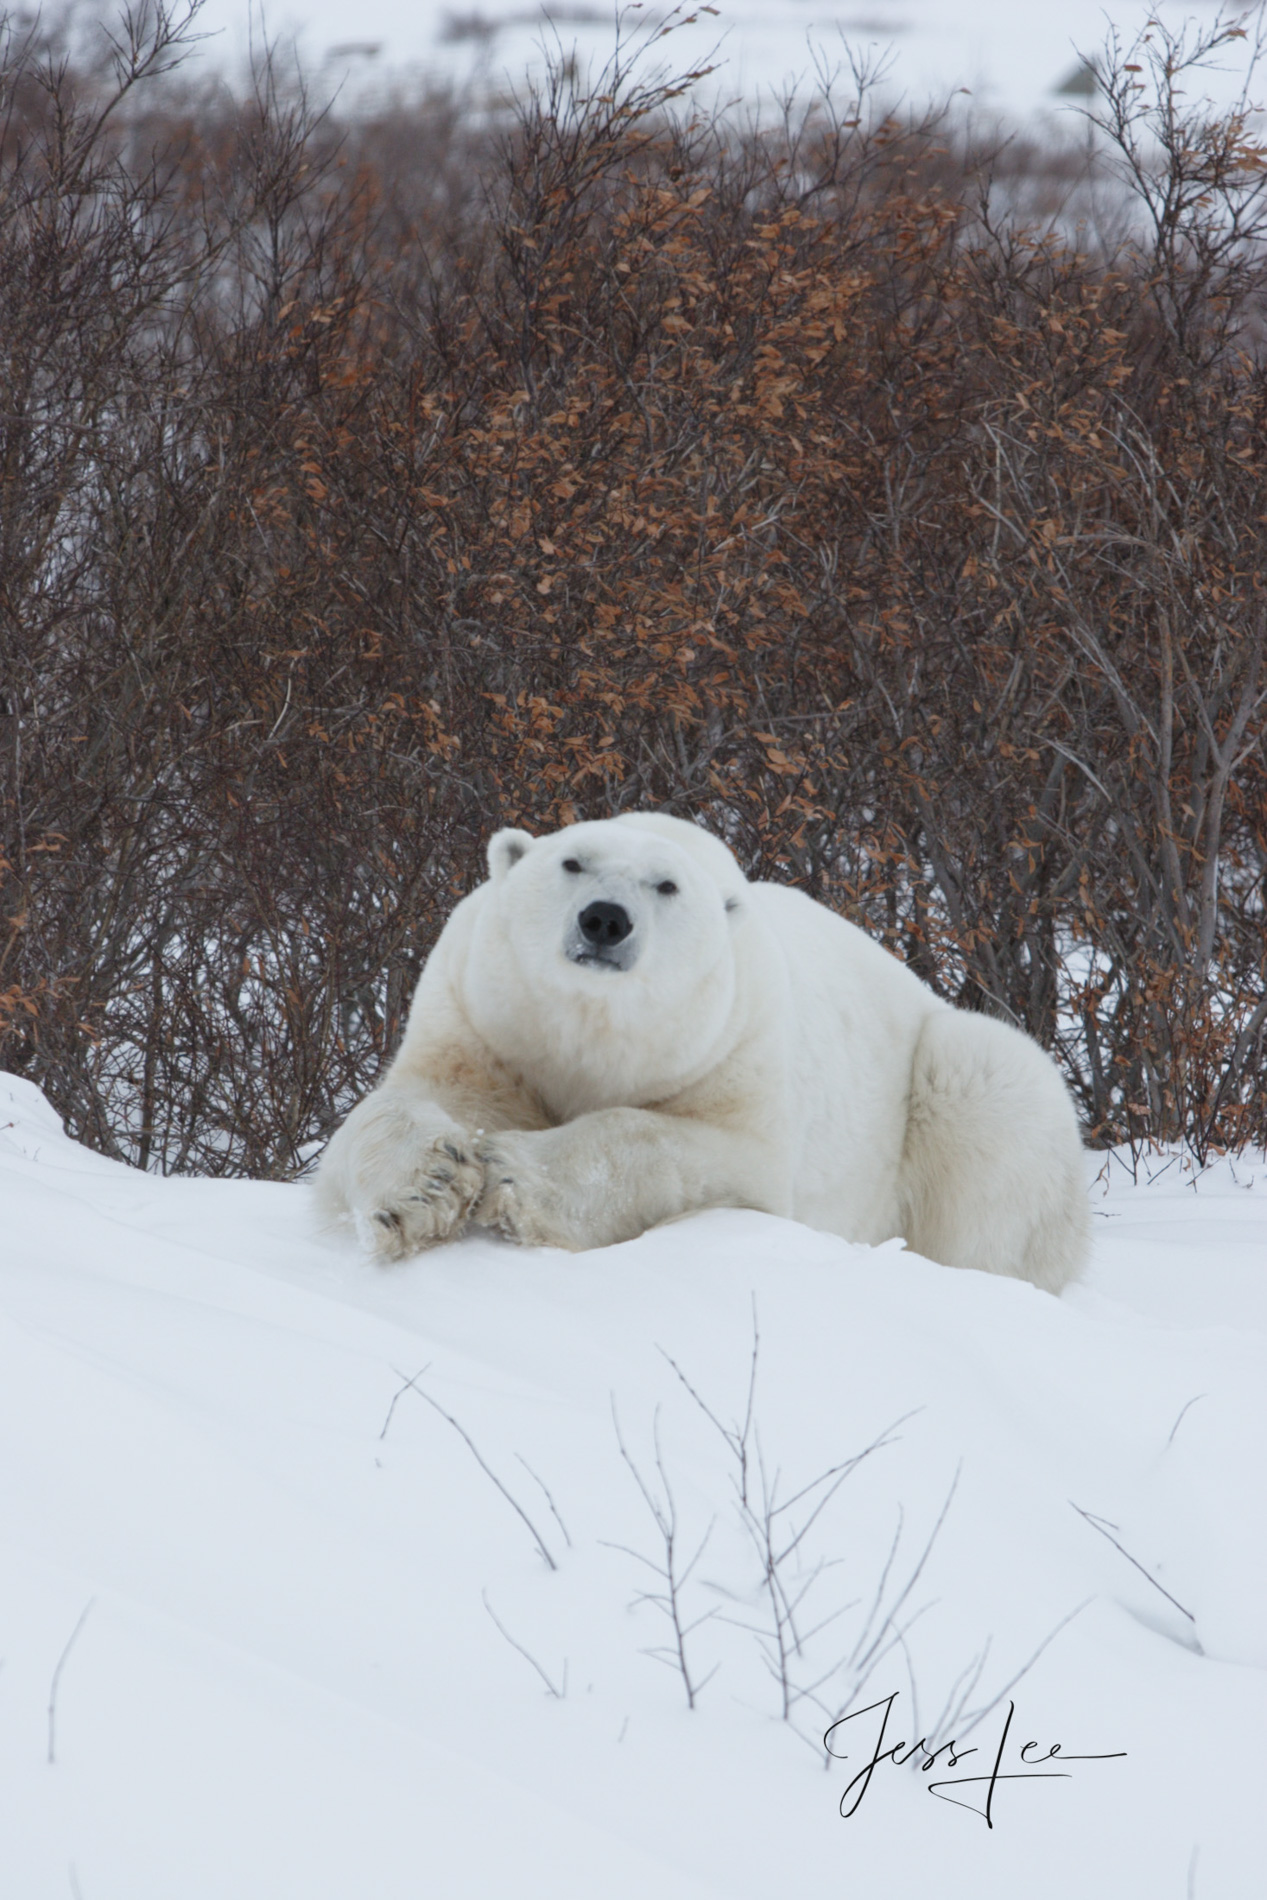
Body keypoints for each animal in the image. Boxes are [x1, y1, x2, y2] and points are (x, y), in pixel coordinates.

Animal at [319, 809, 1094, 1284]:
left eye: (665, 886)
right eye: (571, 862)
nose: (605, 920)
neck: (585, 1036)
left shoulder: (734, 1049)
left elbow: (694, 1150)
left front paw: (511, 1172)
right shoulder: (481, 1025)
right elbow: (402, 1106)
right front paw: (427, 1188)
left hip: (955, 1081)